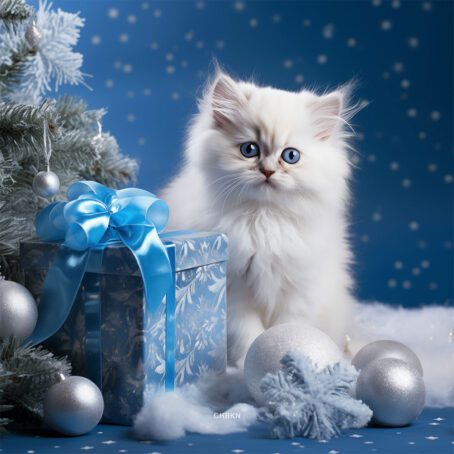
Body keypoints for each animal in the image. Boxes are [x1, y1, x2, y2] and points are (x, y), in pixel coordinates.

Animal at [161, 72, 360, 368]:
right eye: (249, 150)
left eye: (291, 156)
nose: (267, 171)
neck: (264, 218)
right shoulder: (236, 293)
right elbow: (248, 335)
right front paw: (247, 364)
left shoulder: (298, 291)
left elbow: (289, 330)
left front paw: (287, 357)